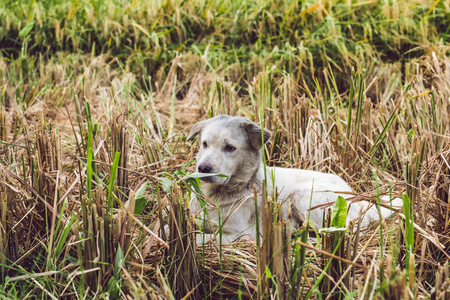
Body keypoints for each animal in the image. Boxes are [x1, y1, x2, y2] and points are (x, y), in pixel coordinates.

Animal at [187, 115, 400, 244]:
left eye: (230, 148)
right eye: (205, 144)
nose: (203, 168)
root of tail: (358, 197)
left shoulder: (242, 234)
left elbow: (200, 238)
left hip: (304, 198)